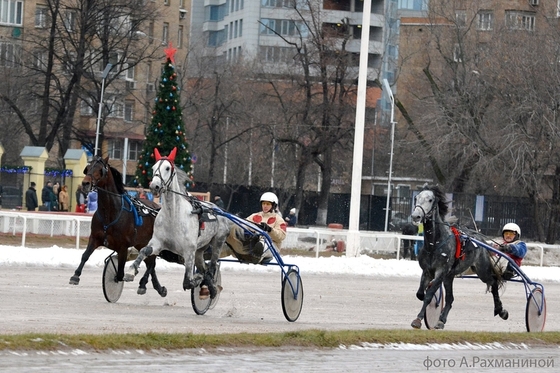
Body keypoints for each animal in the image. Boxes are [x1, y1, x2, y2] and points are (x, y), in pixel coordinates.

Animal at [69, 155, 168, 296]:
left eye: (100, 169)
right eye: (88, 168)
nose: (85, 183)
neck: (110, 213)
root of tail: (157, 209)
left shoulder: (123, 246)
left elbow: (120, 272)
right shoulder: (95, 237)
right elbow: (85, 255)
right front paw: (75, 275)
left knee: (151, 264)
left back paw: (144, 283)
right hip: (141, 243)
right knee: (150, 264)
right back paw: (156, 287)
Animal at [124, 147, 232, 300]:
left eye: (167, 168)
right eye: (153, 167)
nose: (154, 186)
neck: (173, 216)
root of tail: (217, 209)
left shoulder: (189, 251)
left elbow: (187, 282)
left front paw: (197, 279)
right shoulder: (158, 243)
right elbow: (145, 251)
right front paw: (130, 271)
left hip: (217, 242)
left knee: (211, 268)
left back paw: (210, 286)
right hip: (199, 250)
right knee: (205, 268)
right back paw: (211, 288)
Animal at [410, 185, 510, 326]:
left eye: (430, 199)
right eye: (416, 198)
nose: (416, 216)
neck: (434, 245)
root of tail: (480, 238)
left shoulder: (441, 272)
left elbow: (429, 294)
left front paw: (418, 319)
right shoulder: (427, 271)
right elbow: (420, 294)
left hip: (482, 270)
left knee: (493, 283)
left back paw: (501, 310)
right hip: (450, 276)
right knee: (450, 298)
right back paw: (441, 320)